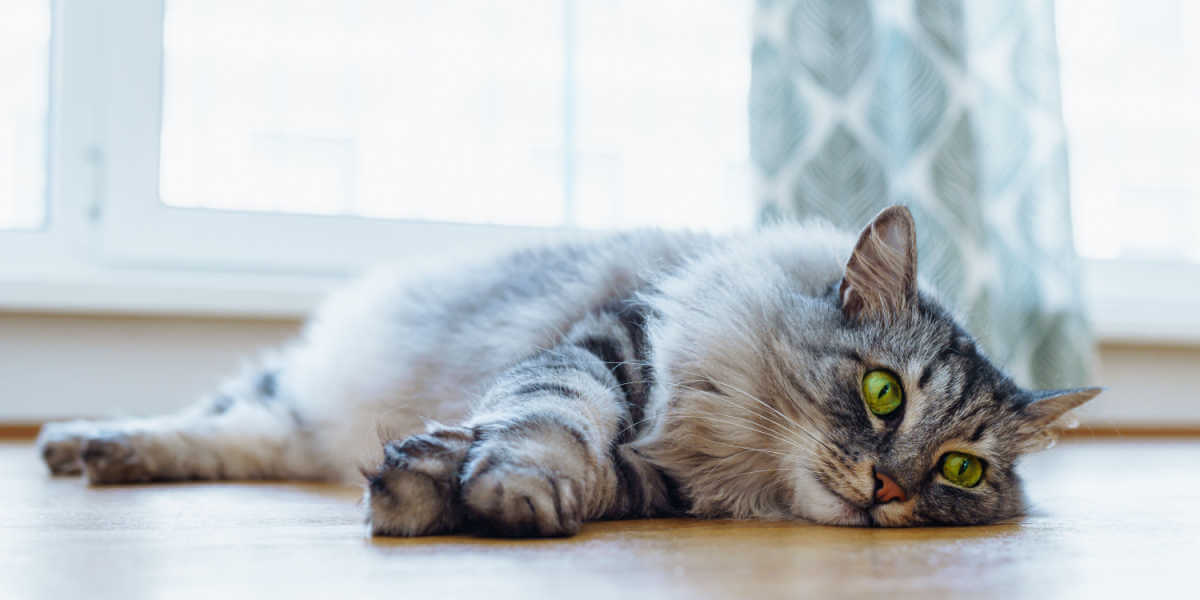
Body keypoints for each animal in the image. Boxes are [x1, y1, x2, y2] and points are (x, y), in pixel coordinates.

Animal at [35, 206, 1099, 535]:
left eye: (961, 469)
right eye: (883, 393)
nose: (888, 489)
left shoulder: (660, 484)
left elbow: (588, 471)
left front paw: (442, 483)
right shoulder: (605, 346)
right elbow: (551, 420)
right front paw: (498, 483)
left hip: (287, 429)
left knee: (237, 442)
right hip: (289, 390)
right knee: (210, 417)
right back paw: (79, 442)